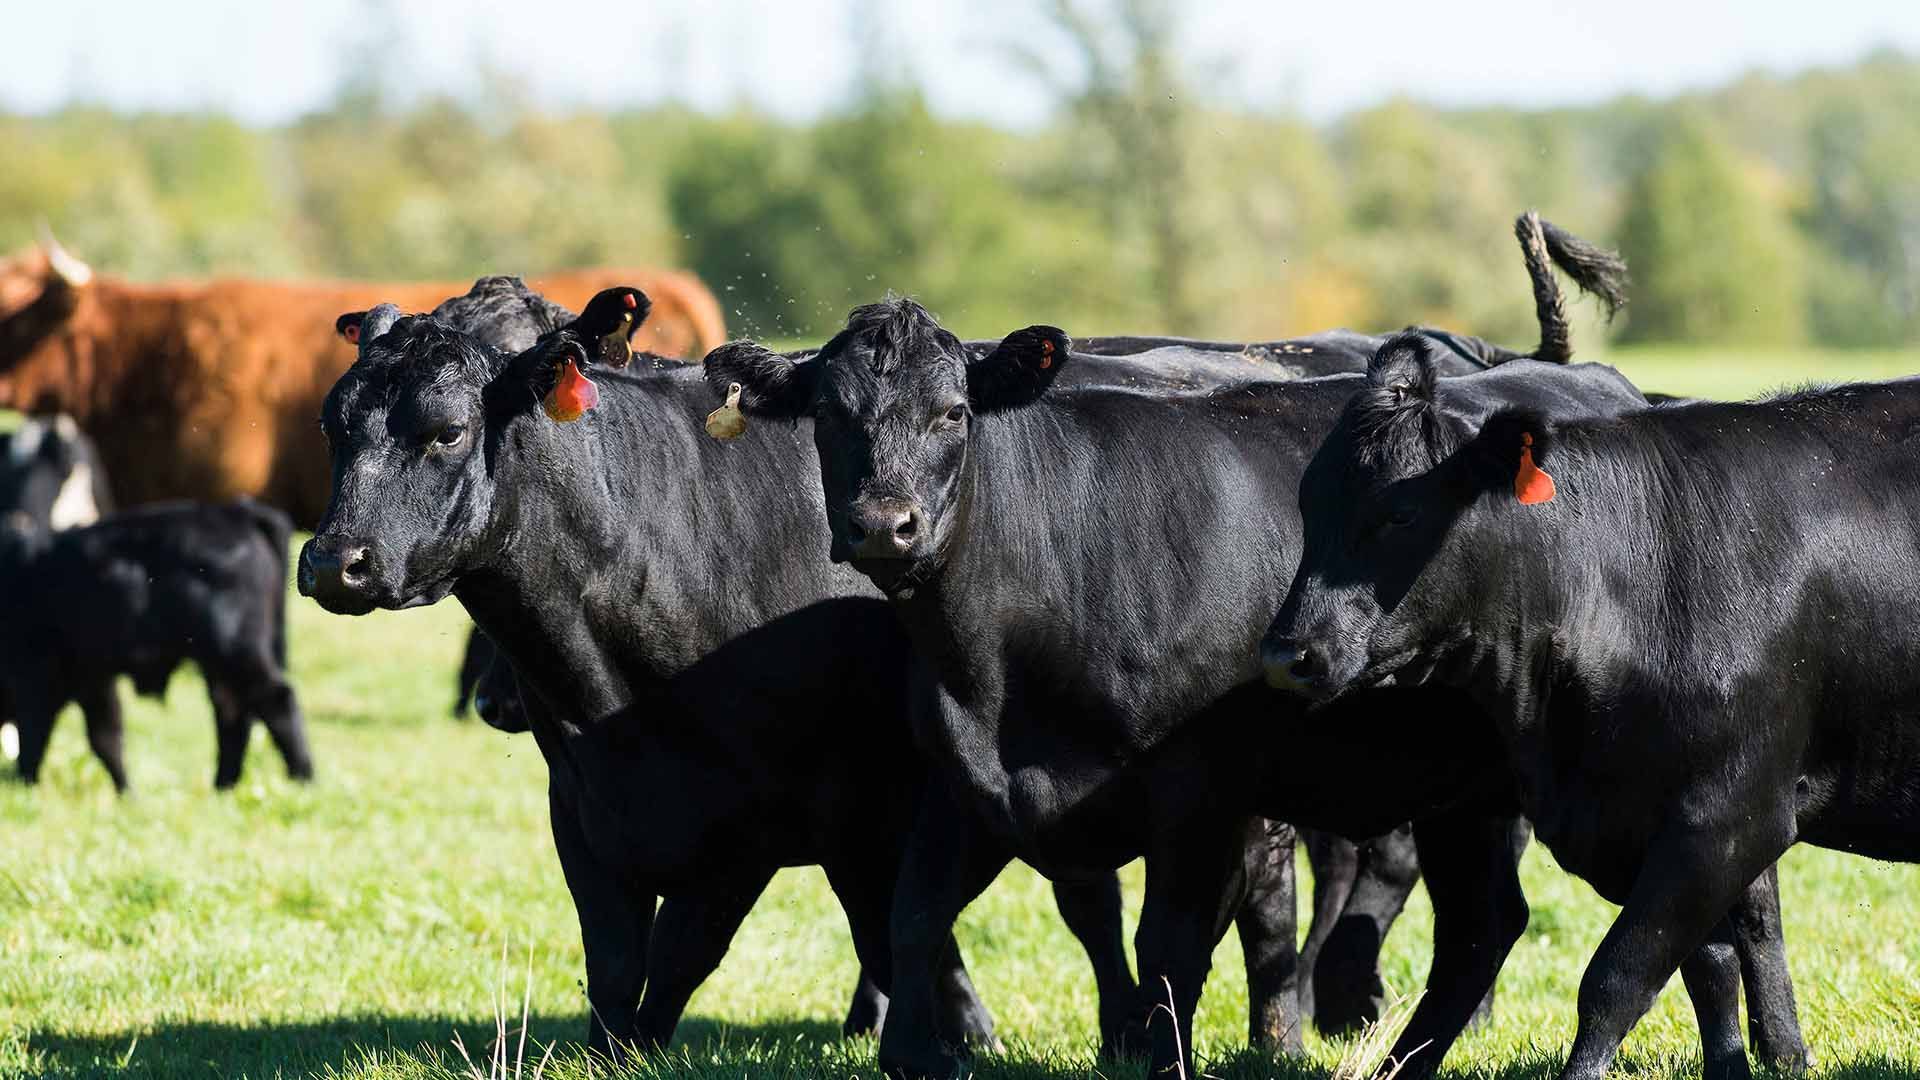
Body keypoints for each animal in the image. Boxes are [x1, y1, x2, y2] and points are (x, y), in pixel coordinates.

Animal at [2, 499, 311, 792]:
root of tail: (236, 512)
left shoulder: (37, 680)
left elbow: (35, 738)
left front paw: (25, 785)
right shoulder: (93, 682)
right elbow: (105, 738)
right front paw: (127, 794)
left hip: (236, 652)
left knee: (276, 701)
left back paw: (303, 777)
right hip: (218, 666)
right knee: (234, 713)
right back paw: (223, 785)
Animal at [298, 283, 1173, 1061]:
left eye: (446, 431)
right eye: (332, 426)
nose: (334, 561)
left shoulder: (780, 817)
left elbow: (688, 957)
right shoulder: (579, 806)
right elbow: (616, 970)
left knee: (1080, 900)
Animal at [704, 217, 1805, 1079]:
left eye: (952, 413)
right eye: (830, 416)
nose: (883, 527)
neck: (1002, 664)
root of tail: (1581, 378)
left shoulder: (1201, 797)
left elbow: (1169, 947)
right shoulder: (962, 781)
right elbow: (915, 916)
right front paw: (917, 1055)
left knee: (1736, 902)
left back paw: (1773, 1050)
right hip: (1472, 790)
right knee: (1487, 926)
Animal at [1260, 339, 1920, 1080]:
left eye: (1399, 513)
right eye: (1308, 507)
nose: (1285, 654)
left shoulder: (1730, 815)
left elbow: (1615, 980)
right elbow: (1709, 968)